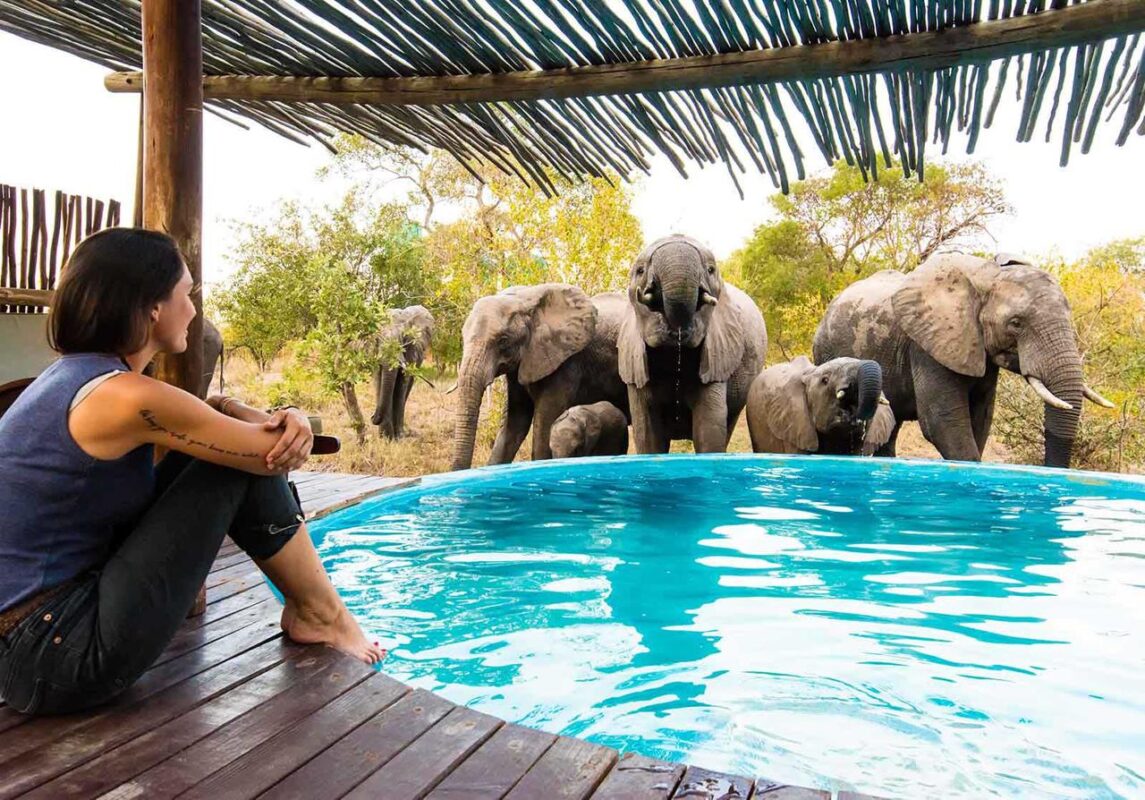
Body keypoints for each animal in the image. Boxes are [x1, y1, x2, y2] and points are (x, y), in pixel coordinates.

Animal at [370, 306, 432, 441]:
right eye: (377, 339)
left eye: (403, 338)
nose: (372, 417)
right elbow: (378, 381)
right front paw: (385, 438)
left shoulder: (411, 351)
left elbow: (401, 385)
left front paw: (397, 437)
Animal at [810, 251, 1112, 469]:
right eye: (1016, 323)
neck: (987, 275)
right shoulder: (927, 345)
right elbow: (944, 421)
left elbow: (981, 417)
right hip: (827, 350)